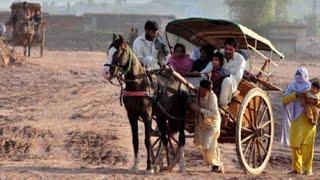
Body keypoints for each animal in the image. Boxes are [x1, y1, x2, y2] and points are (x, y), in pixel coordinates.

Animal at [107, 34, 188, 173]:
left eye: (116, 54)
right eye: (108, 52)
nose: (105, 72)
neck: (138, 84)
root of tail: (182, 80)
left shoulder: (147, 115)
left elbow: (147, 139)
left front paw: (149, 167)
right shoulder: (131, 115)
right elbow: (135, 140)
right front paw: (136, 166)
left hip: (180, 114)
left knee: (181, 138)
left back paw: (181, 165)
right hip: (162, 116)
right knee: (164, 137)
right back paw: (160, 163)